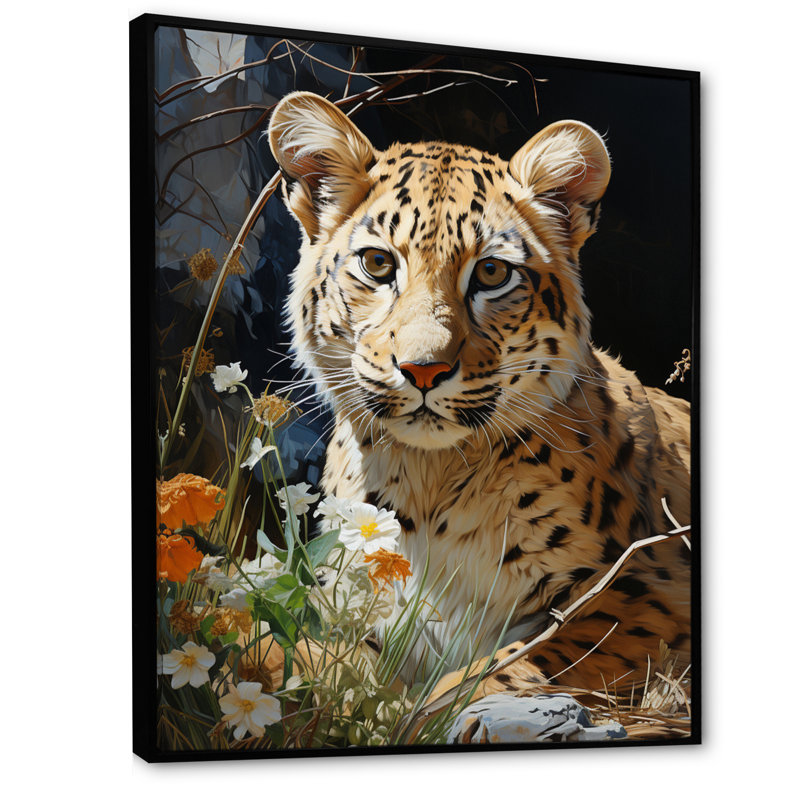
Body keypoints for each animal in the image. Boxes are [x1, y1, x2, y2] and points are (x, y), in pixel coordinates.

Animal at [267, 91, 691, 711]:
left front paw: (429, 712)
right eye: (378, 264)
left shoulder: (648, 593)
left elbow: (506, 664)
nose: (424, 369)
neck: (426, 483)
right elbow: (300, 648)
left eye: (491, 272)